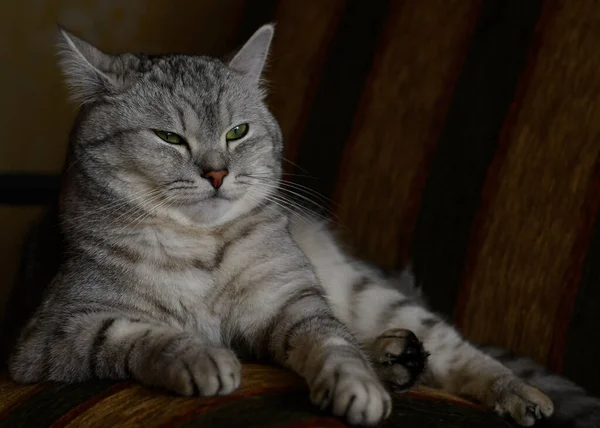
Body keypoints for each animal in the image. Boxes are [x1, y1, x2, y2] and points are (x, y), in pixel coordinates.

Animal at [4, 24, 596, 428]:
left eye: (237, 131)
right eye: (169, 137)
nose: (217, 173)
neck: (201, 250)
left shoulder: (291, 301)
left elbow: (330, 343)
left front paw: (357, 387)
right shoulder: (56, 333)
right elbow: (141, 334)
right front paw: (199, 356)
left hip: (365, 290)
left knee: (445, 346)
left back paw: (510, 390)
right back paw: (395, 358)